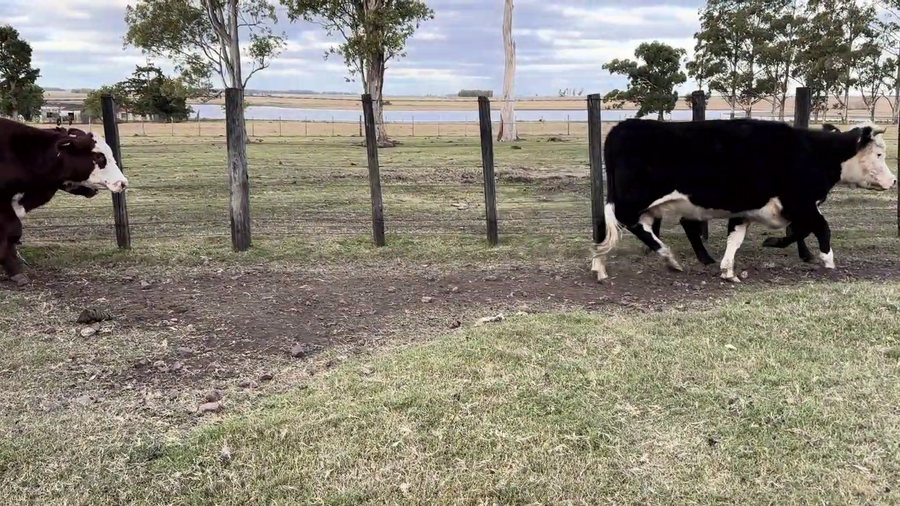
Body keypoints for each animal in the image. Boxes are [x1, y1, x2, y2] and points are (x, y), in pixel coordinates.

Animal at [590, 118, 896, 283]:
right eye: (879, 154)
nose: (893, 181)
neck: (812, 153)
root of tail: (623, 127)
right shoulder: (802, 204)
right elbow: (820, 229)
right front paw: (827, 261)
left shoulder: (751, 209)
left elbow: (737, 238)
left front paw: (728, 269)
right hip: (633, 199)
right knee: (627, 224)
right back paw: (668, 258)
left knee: (628, 227)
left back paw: (602, 266)